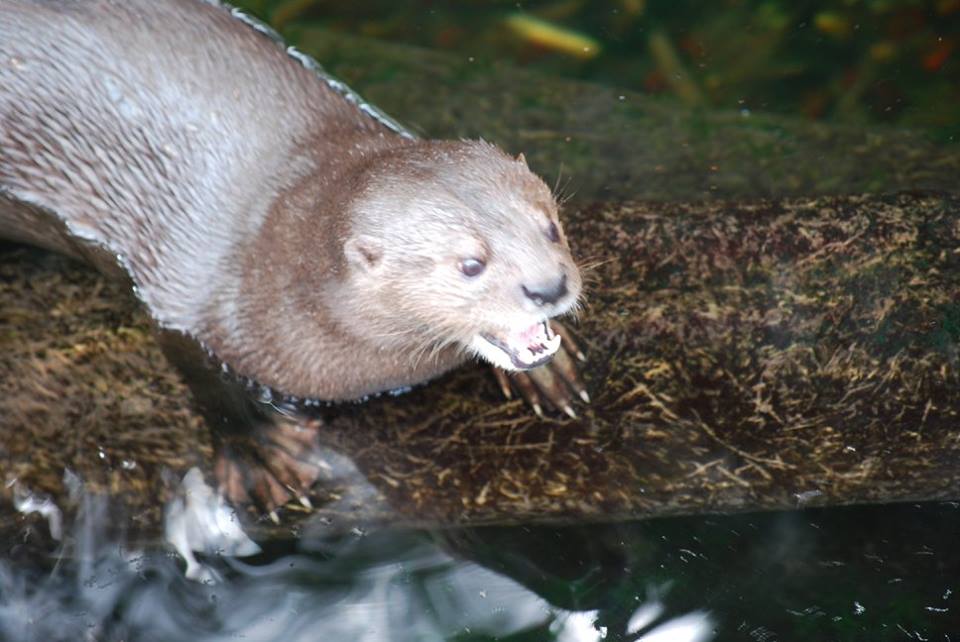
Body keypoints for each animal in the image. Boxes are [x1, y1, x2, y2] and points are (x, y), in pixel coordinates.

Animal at [0, 0, 585, 512]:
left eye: (551, 226)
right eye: (470, 264)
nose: (549, 288)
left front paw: (549, 370)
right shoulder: (182, 297)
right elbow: (198, 372)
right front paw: (260, 453)